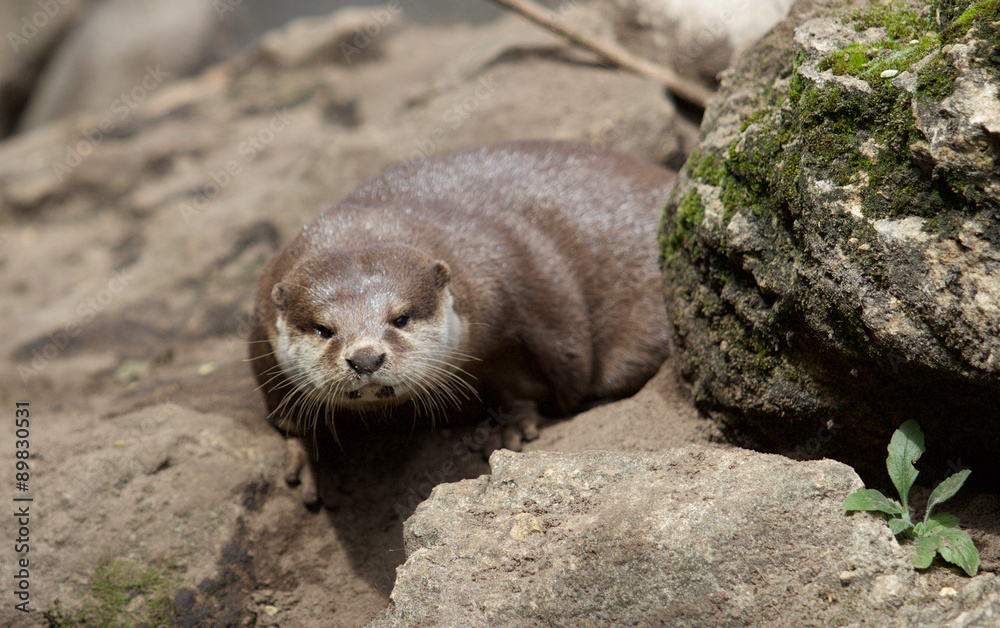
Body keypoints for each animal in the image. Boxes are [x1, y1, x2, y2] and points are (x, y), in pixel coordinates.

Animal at [249, 140, 675, 503]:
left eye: (401, 318)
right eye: (324, 330)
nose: (366, 359)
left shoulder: (515, 290)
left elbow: (527, 380)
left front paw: (507, 425)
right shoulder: (262, 335)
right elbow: (289, 417)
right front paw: (316, 457)